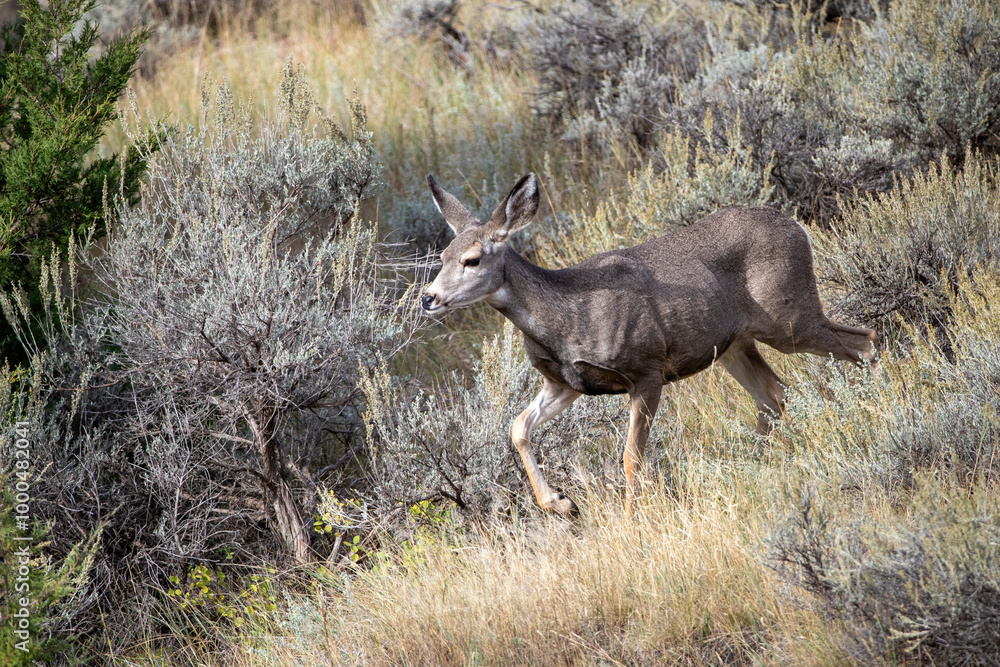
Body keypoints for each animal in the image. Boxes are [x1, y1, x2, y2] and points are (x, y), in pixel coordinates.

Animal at [420, 173, 878, 515]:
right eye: (441, 257)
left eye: (472, 259)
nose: (428, 298)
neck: (566, 316)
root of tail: (797, 225)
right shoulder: (565, 383)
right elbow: (517, 428)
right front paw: (561, 504)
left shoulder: (646, 370)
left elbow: (630, 458)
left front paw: (630, 518)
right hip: (735, 344)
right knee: (774, 393)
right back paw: (755, 462)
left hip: (789, 318)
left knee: (864, 343)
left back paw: (876, 412)